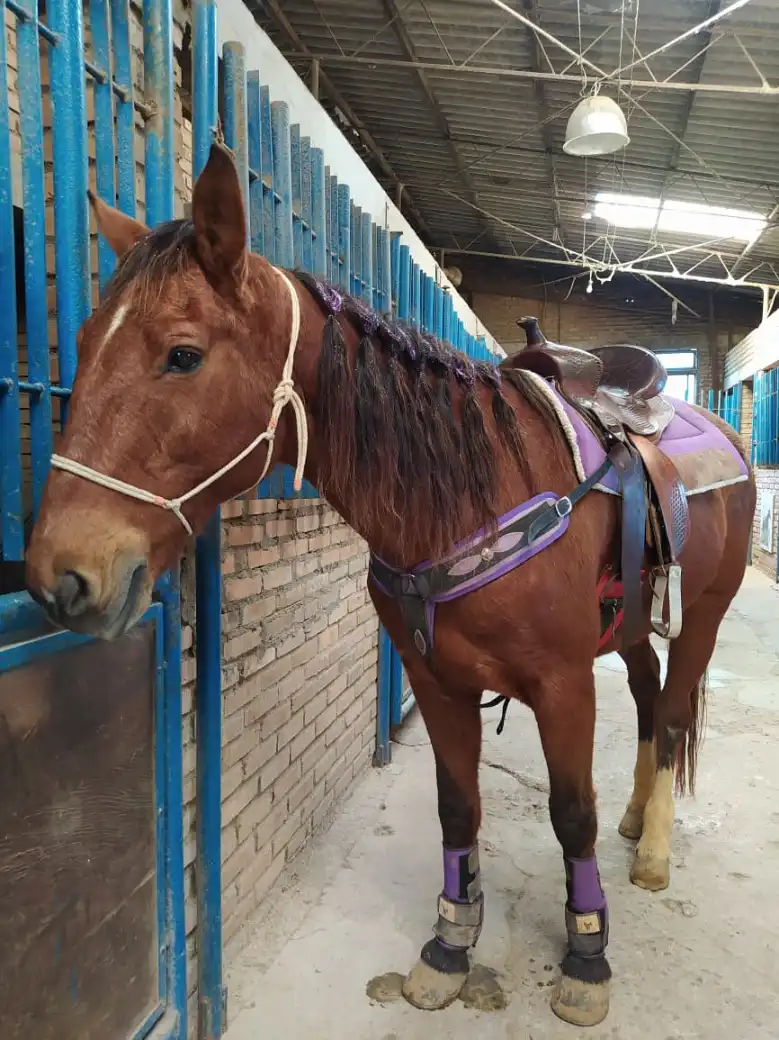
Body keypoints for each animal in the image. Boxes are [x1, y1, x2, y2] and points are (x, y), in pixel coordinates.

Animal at [26, 143, 756, 1027]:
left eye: (183, 354)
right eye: (85, 340)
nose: (60, 576)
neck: (474, 490)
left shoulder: (561, 684)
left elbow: (568, 814)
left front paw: (586, 956)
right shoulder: (435, 679)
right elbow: (457, 806)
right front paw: (449, 944)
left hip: (701, 617)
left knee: (676, 714)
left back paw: (651, 848)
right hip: (631, 626)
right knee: (650, 704)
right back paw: (634, 816)